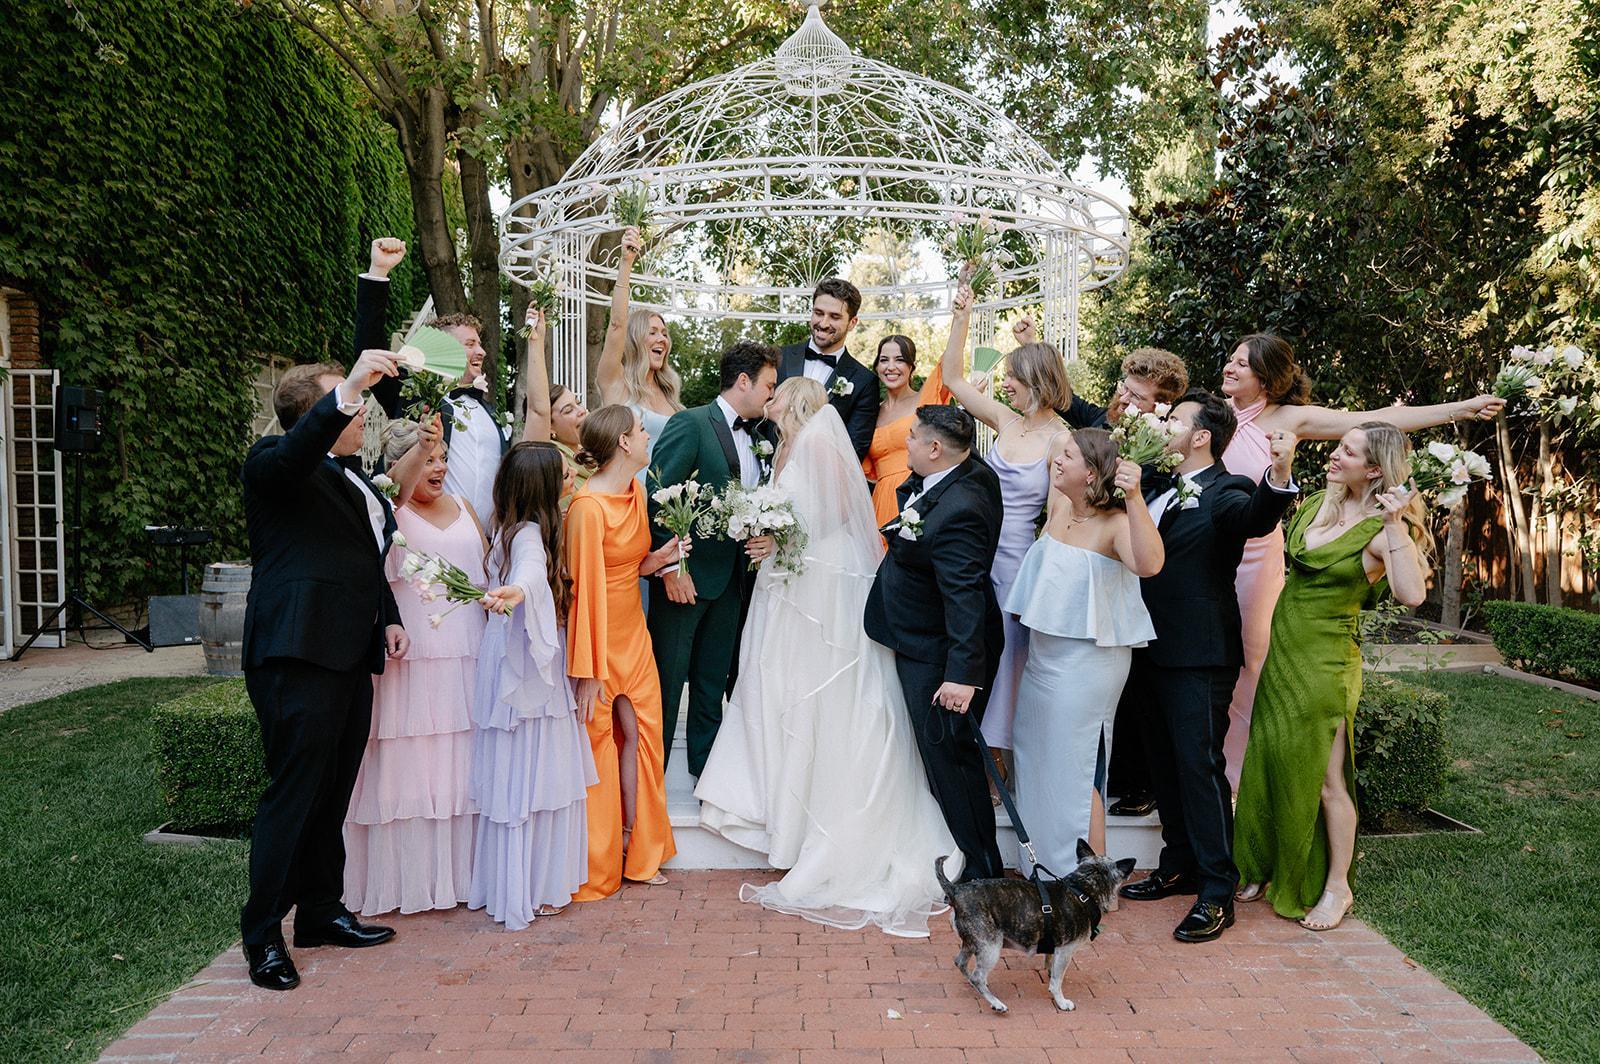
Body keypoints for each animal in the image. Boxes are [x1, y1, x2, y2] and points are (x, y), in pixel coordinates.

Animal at [936, 840, 1135, 1013]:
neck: (1083, 889)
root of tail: (956, 890)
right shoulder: (1066, 950)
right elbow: (1057, 981)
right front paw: (1061, 1001)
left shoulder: (1055, 948)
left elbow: (1052, 968)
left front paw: (1050, 975)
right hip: (990, 947)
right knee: (978, 975)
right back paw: (996, 1003)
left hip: (972, 943)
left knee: (961, 963)